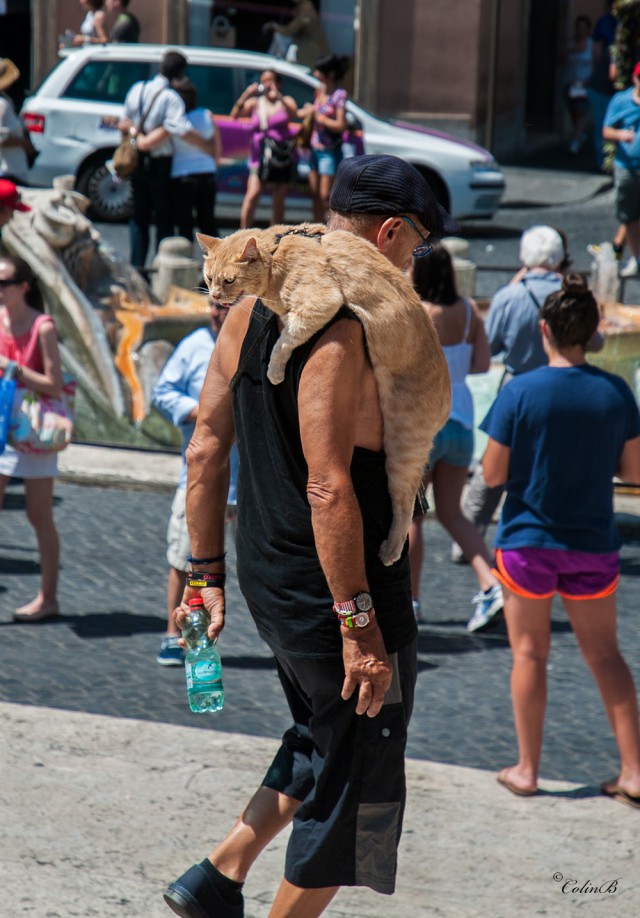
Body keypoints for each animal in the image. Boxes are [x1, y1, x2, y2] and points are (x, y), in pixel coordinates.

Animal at [198, 226, 452, 564]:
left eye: (228, 281)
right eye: (209, 278)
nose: (214, 297)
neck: (279, 253)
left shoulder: (320, 302)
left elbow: (284, 339)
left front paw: (275, 370)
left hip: (403, 448)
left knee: (405, 502)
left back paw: (390, 549)